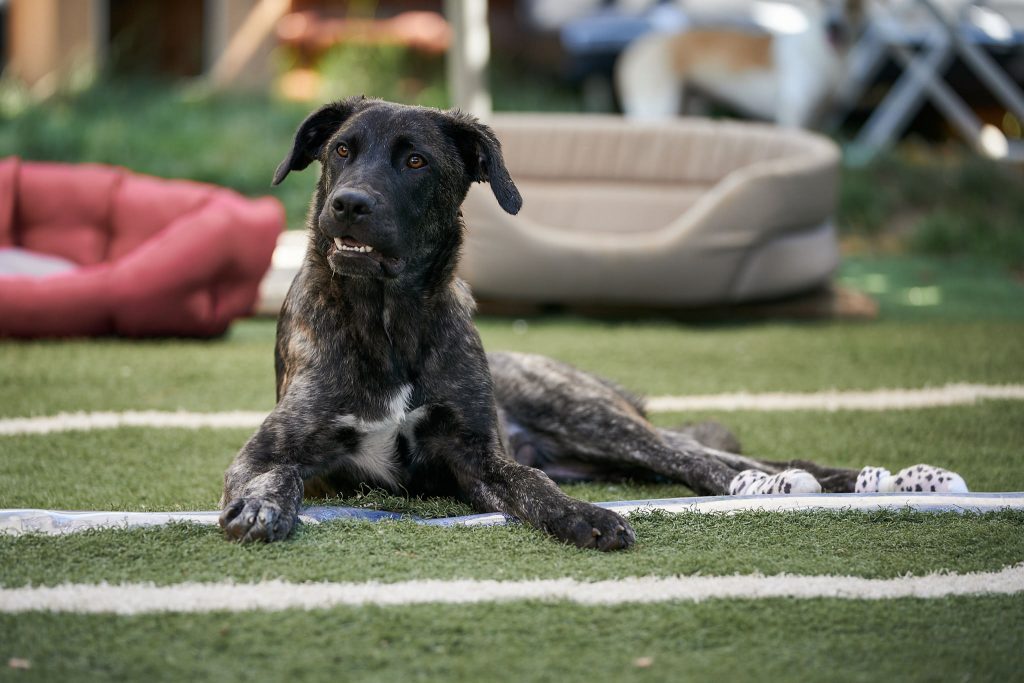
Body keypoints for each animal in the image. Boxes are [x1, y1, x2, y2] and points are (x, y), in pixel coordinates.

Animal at [220, 97, 962, 548]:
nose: (348, 204)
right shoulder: (274, 448)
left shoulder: (479, 458)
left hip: (592, 418)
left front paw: (583, 519)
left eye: (415, 161)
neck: (389, 318)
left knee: (708, 460)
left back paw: (843, 481)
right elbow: (273, 473)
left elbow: (535, 487)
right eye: (341, 151)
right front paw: (261, 506)